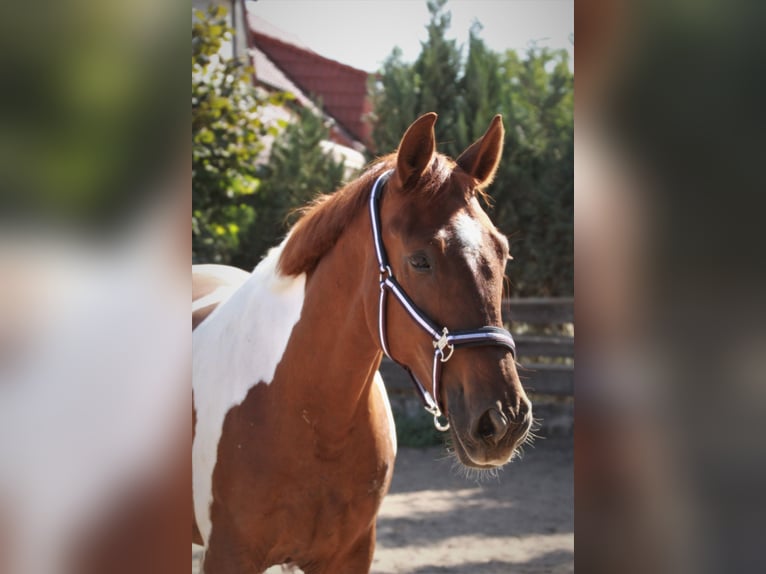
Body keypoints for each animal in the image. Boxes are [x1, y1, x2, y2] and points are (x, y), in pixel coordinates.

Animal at [192, 112, 533, 573]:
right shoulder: (227, 555)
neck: (310, 416)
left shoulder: (350, 554)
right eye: (419, 260)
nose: (504, 419)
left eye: (503, 252)